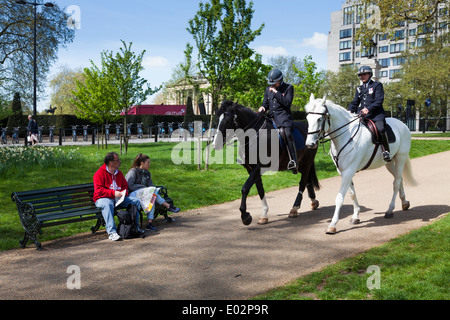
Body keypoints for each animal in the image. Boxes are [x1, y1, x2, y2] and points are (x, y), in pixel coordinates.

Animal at [304, 94, 416, 234]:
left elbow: (340, 198)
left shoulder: (348, 172)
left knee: (396, 182)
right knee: (398, 179)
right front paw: (356, 216)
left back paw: (390, 210)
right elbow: (352, 194)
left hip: (400, 158)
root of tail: (403, 125)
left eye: (319, 119)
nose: (310, 144)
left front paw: (332, 224)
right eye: (307, 118)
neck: (346, 136)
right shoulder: (343, 172)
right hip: (389, 162)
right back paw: (405, 202)